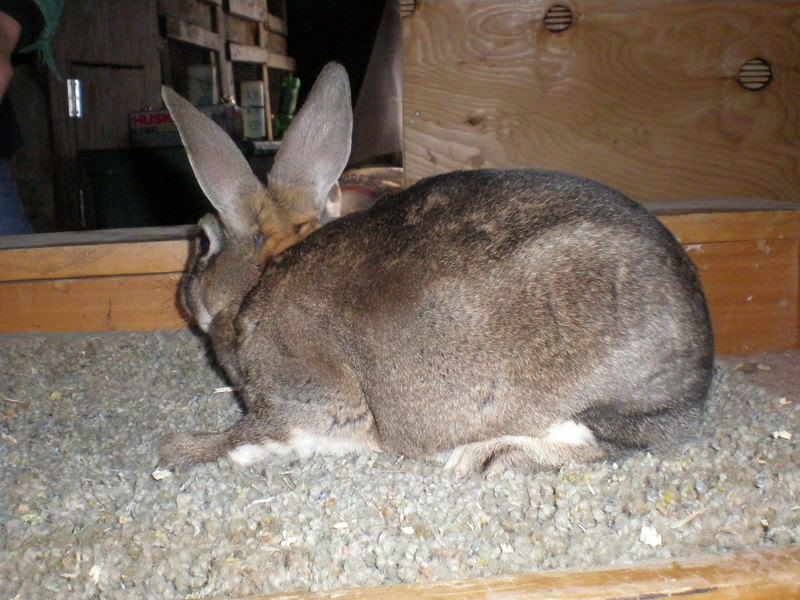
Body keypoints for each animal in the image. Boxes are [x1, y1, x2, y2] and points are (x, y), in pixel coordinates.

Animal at [157, 62, 714, 478]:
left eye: (202, 240)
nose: (184, 297)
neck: (263, 275)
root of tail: (697, 386)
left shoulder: (301, 401)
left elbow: (256, 437)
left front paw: (180, 450)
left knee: (607, 442)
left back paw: (490, 456)